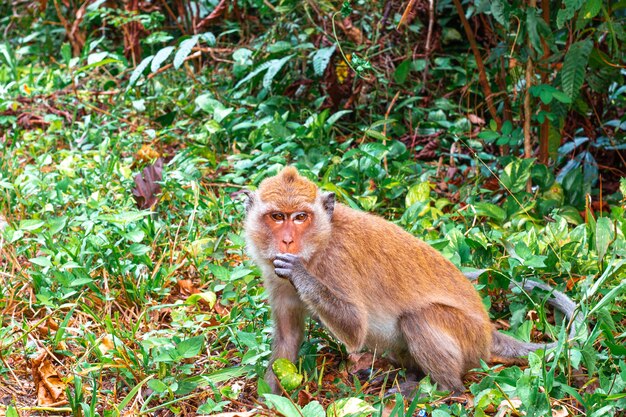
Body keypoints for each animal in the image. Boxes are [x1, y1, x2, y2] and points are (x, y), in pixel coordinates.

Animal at [243, 165, 580, 394]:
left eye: (300, 217)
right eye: (277, 217)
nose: (287, 241)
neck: (319, 244)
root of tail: (488, 332)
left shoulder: (336, 263)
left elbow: (355, 328)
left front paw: (300, 273)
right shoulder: (274, 278)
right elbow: (288, 338)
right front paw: (269, 397)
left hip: (469, 339)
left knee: (417, 319)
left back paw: (440, 388)